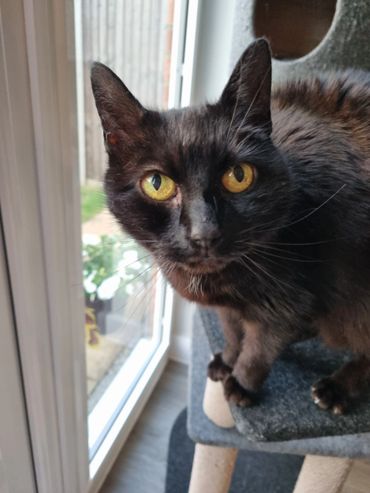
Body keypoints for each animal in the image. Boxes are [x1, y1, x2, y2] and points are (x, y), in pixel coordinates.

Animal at [91, 40, 370, 414]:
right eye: (156, 183)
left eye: (239, 176)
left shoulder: (288, 302)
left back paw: (336, 389)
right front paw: (226, 360)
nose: (203, 233)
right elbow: (234, 331)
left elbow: (261, 346)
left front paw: (241, 384)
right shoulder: (228, 309)